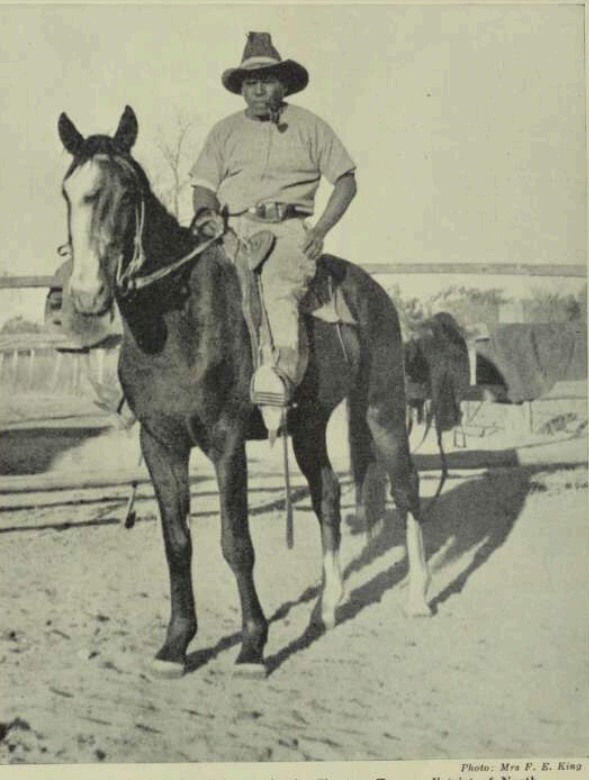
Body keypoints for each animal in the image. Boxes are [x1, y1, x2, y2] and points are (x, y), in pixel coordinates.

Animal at [57, 106, 430, 680]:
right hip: (308, 426)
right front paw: (176, 645)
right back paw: (325, 610)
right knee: (327, 496)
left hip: (383, 411)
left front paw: (253, 645)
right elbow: (177, 542)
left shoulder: (225, 441)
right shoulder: (159, 444)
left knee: (407, 489)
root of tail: (375, 293)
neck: (178, 321)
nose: (86, 294)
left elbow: (236, 543)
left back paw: (419, 598)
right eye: (67, 191)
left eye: (127, 192)